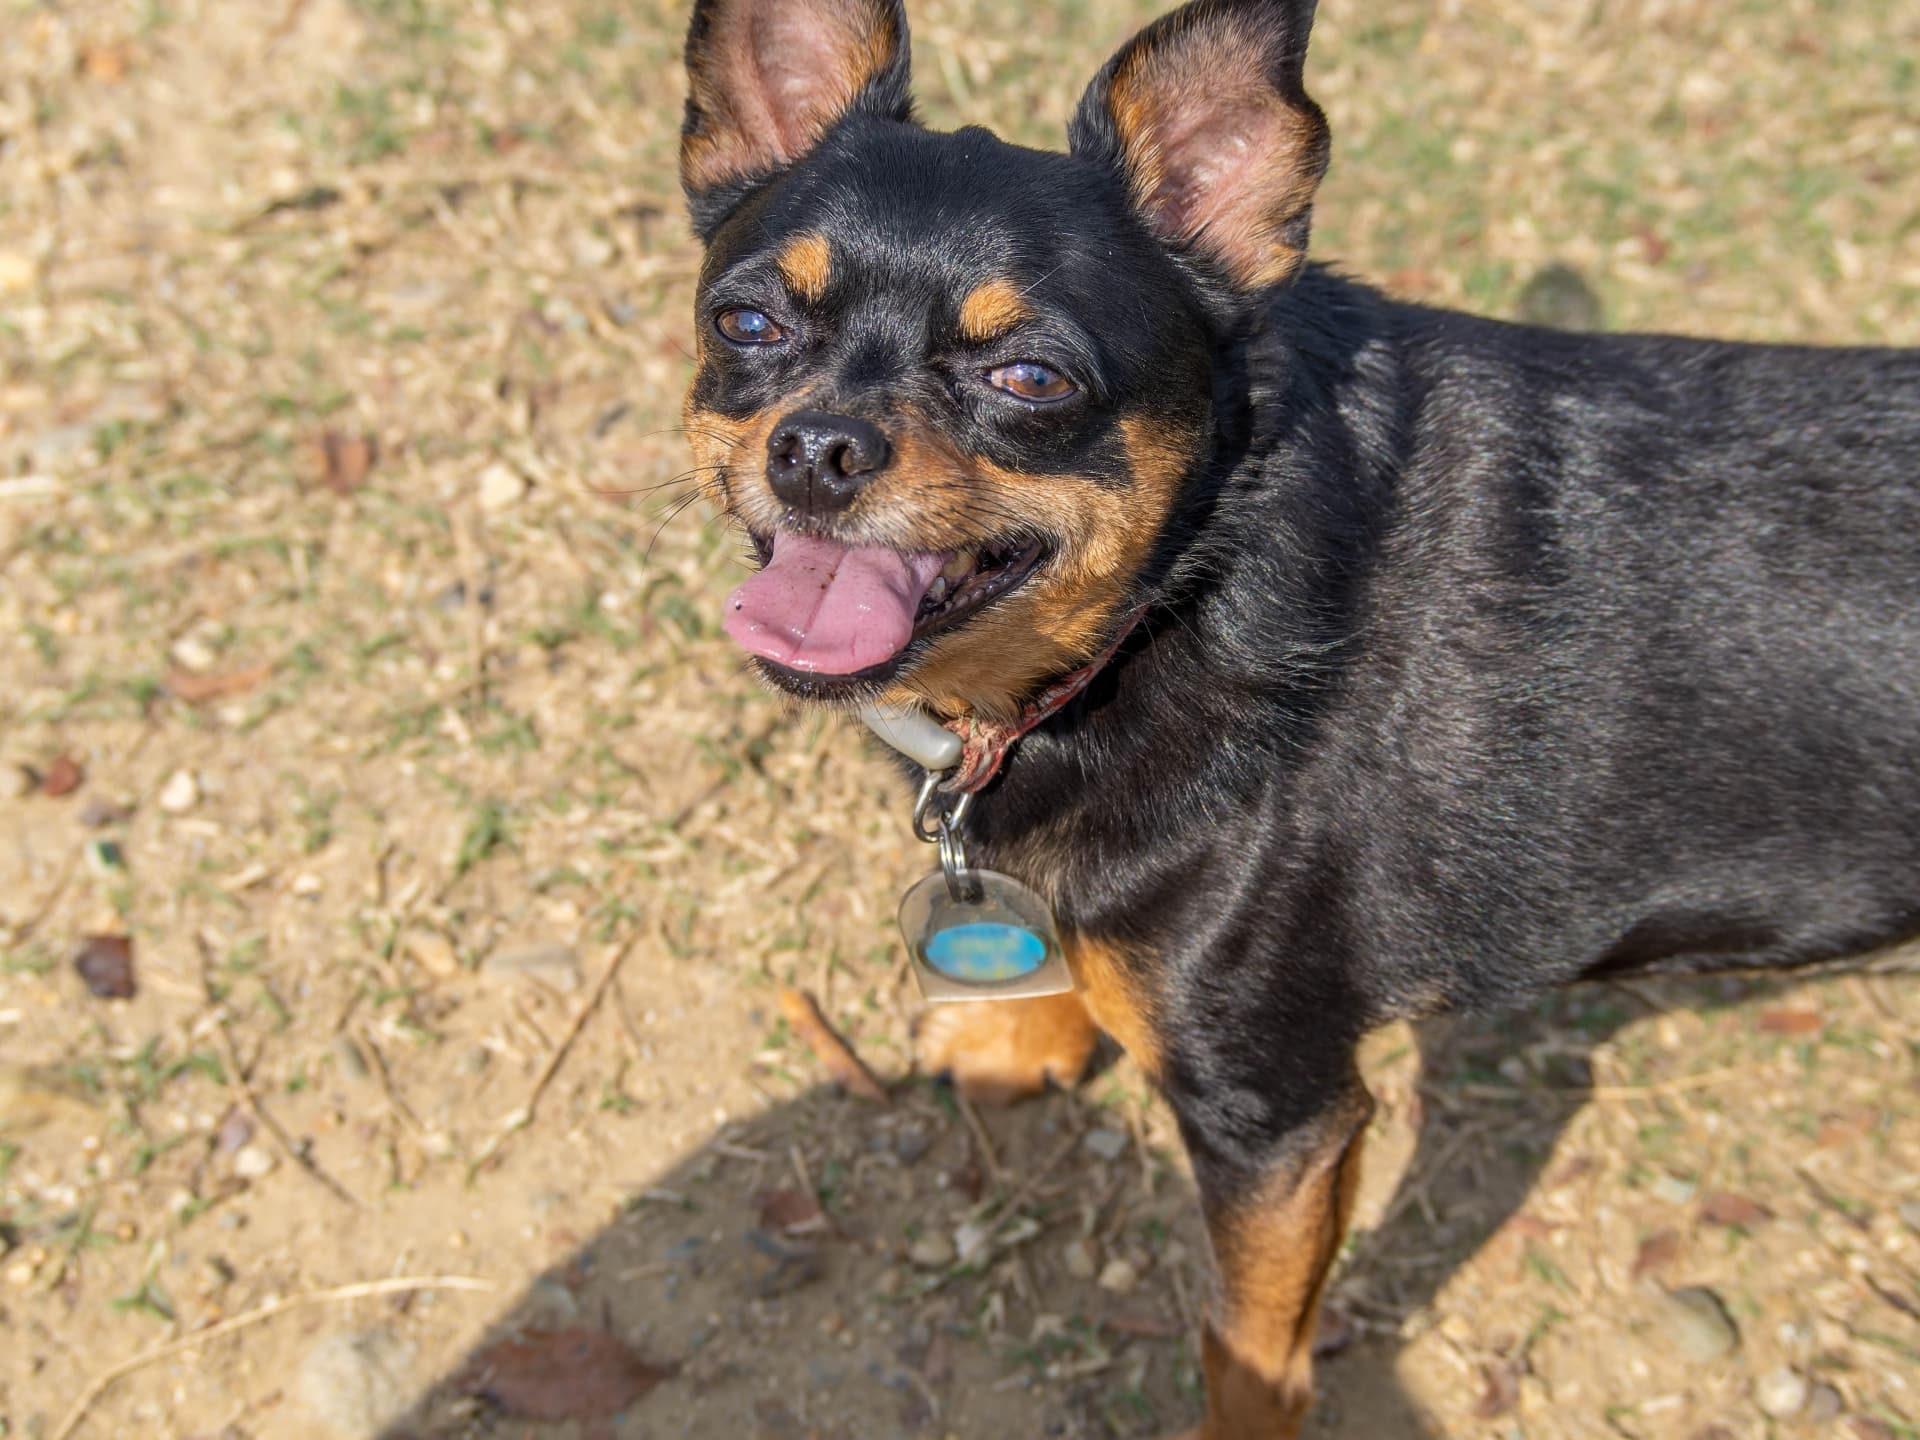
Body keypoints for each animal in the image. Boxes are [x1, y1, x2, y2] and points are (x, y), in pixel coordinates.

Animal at [675, 0, 1920, 1433]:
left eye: (1033, 378)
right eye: (746, 321)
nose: (818, 447)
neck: (1175, 600)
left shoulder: (1274, 1118)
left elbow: (1246, 1345)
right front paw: (1021, 1026)